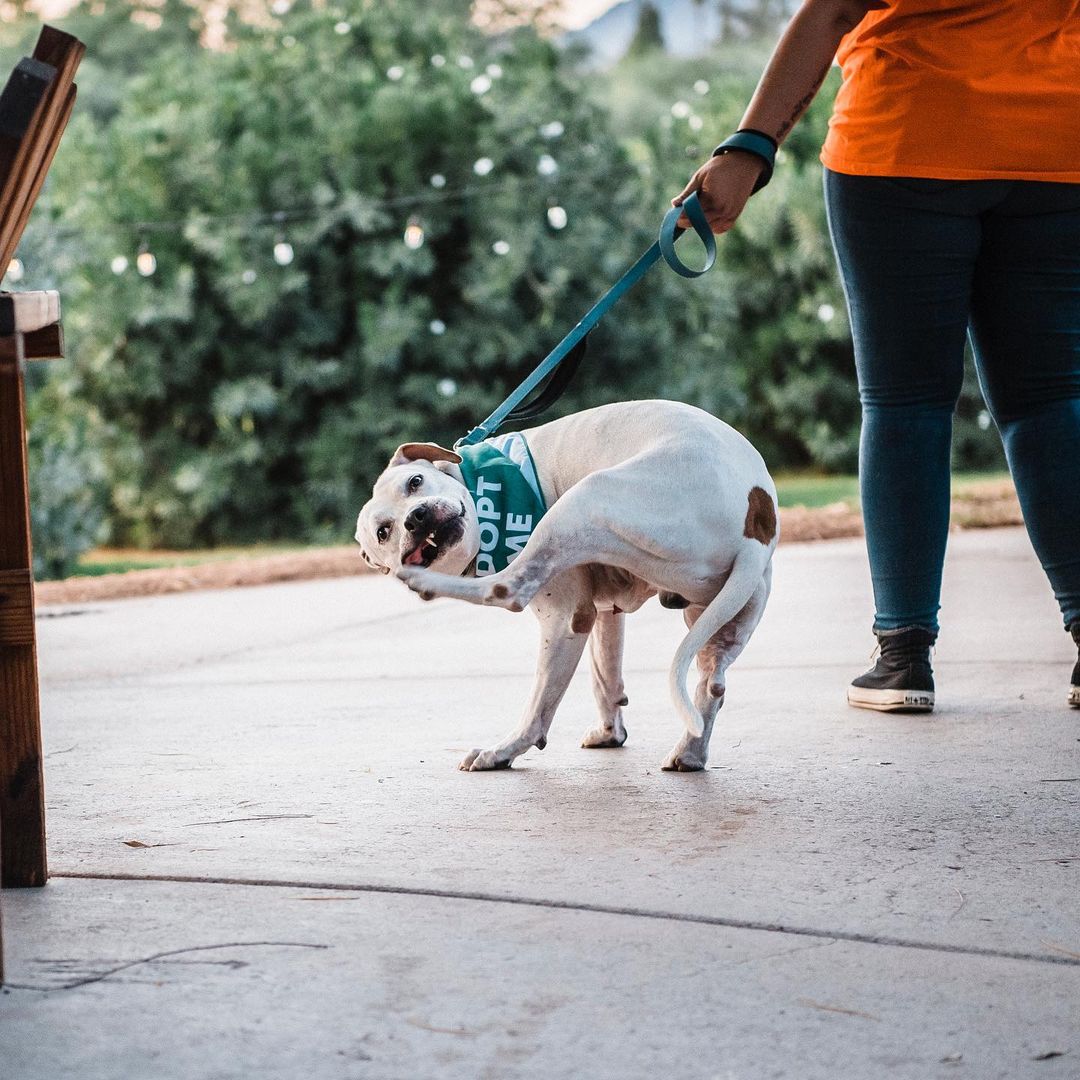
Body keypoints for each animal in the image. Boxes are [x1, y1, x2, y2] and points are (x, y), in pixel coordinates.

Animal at [356, 401, 777, 773]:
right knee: (713, 684)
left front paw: (507, 750)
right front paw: (610, 732)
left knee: (507, 589)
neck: (477, 490)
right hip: (719, 616)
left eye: (415, 482)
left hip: (584, 500)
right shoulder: (603, 613)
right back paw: (689, 752)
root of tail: (757, 521)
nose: (416, 517)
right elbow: (604, 675)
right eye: (383, 532)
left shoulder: (565, 617)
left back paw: (424, 584)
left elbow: (541, 703)